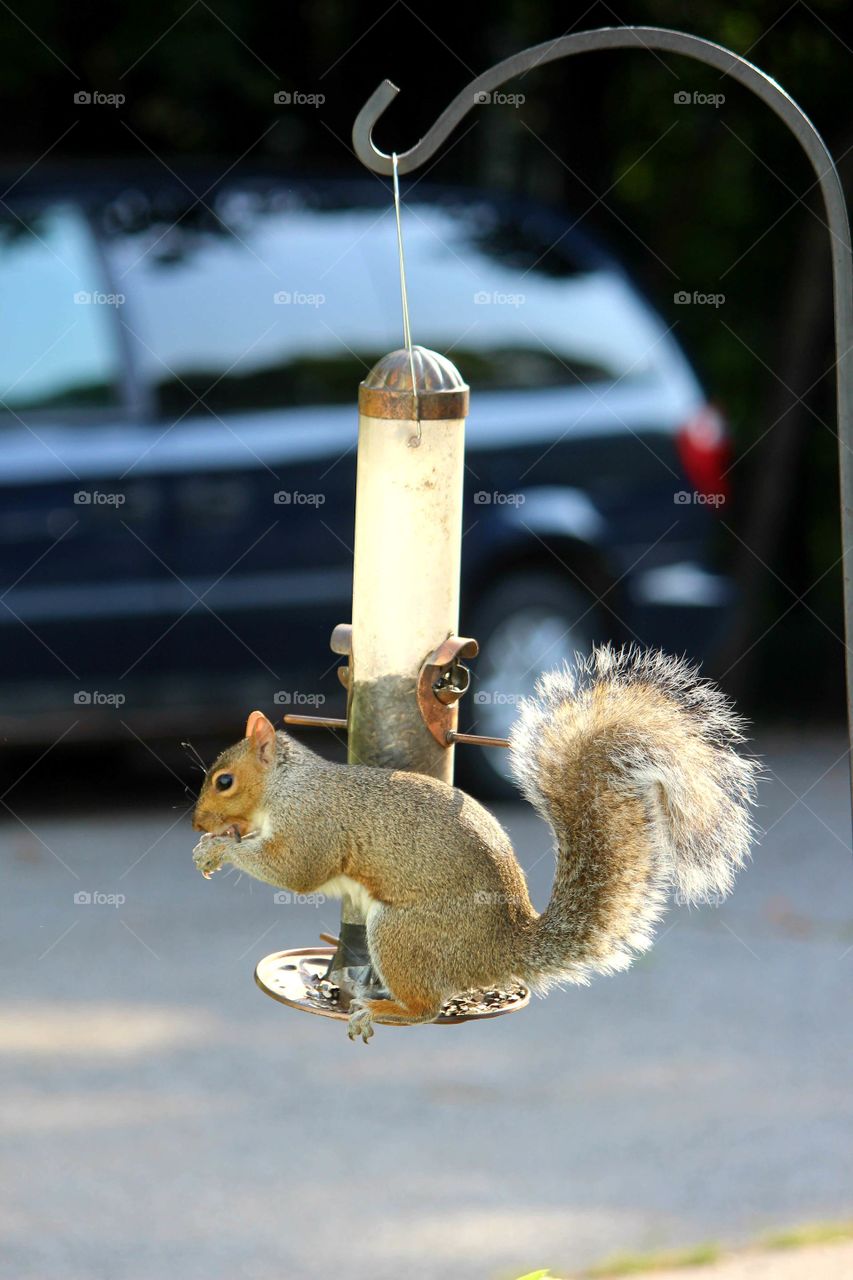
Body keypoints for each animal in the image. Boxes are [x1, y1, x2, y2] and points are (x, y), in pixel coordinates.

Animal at [192, 644, 758, 1042]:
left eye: (224, 781)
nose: (197, 823)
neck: (286, 785)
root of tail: (503, 948)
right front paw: (218, 843)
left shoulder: (312, 825)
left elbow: (296, 873)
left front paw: (220, 848)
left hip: (404, 933)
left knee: (426, 1009)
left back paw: (381, 1007)